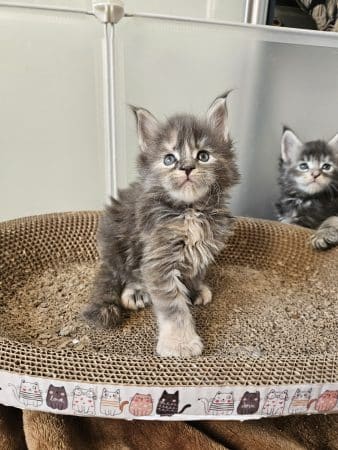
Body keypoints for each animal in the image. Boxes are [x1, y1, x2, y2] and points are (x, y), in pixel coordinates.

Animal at [83, 91, 239, 356]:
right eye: (169, 159)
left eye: (203, 156)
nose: (186, 168)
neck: (189, 210)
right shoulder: (158, 258)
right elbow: (173, 307)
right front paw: (180, 343)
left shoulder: (203, 247)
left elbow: (195, 270)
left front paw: (194, 288)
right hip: (118, 244)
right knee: (126, 273)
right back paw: (136, 291)